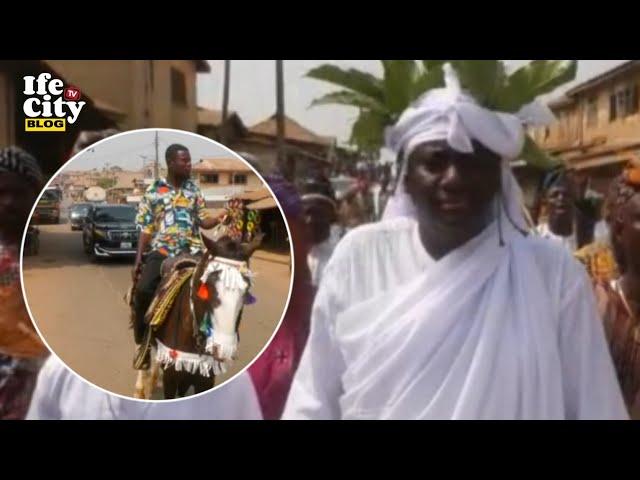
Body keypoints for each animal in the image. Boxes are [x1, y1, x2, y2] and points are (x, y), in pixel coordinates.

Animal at [134, 233, 264, 402]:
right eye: (206, 286)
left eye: (247, 289)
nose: (222, 349)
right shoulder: (171, 378)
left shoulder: (205, 378)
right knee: (142, 346)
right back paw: (141, 388)